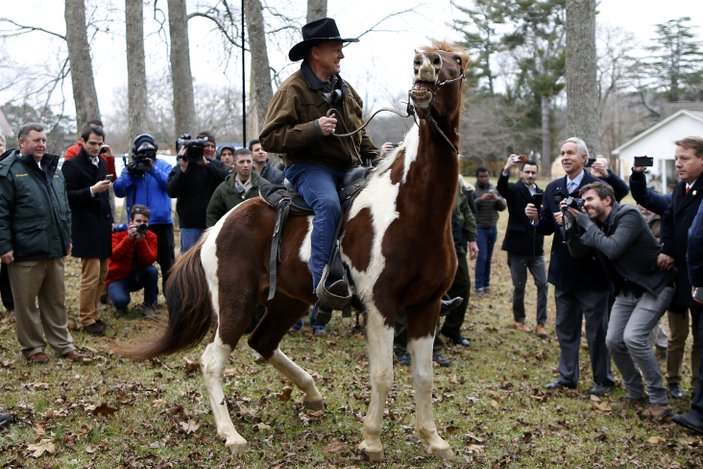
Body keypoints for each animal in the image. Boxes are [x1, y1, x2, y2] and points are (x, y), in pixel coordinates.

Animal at [122, 42, 468, 458]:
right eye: (427, 57)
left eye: (457, 60)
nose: (424, 64)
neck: (413, 209)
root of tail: (215, 230)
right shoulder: (380, 304)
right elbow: (383, 374)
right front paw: (371, 440)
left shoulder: (426, 306)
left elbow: (424, 376)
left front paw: (434, 439)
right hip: (236, 304)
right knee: (212, 361)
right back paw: (231, 433)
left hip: (288, 301)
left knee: (263, 341)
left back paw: (313, 396)